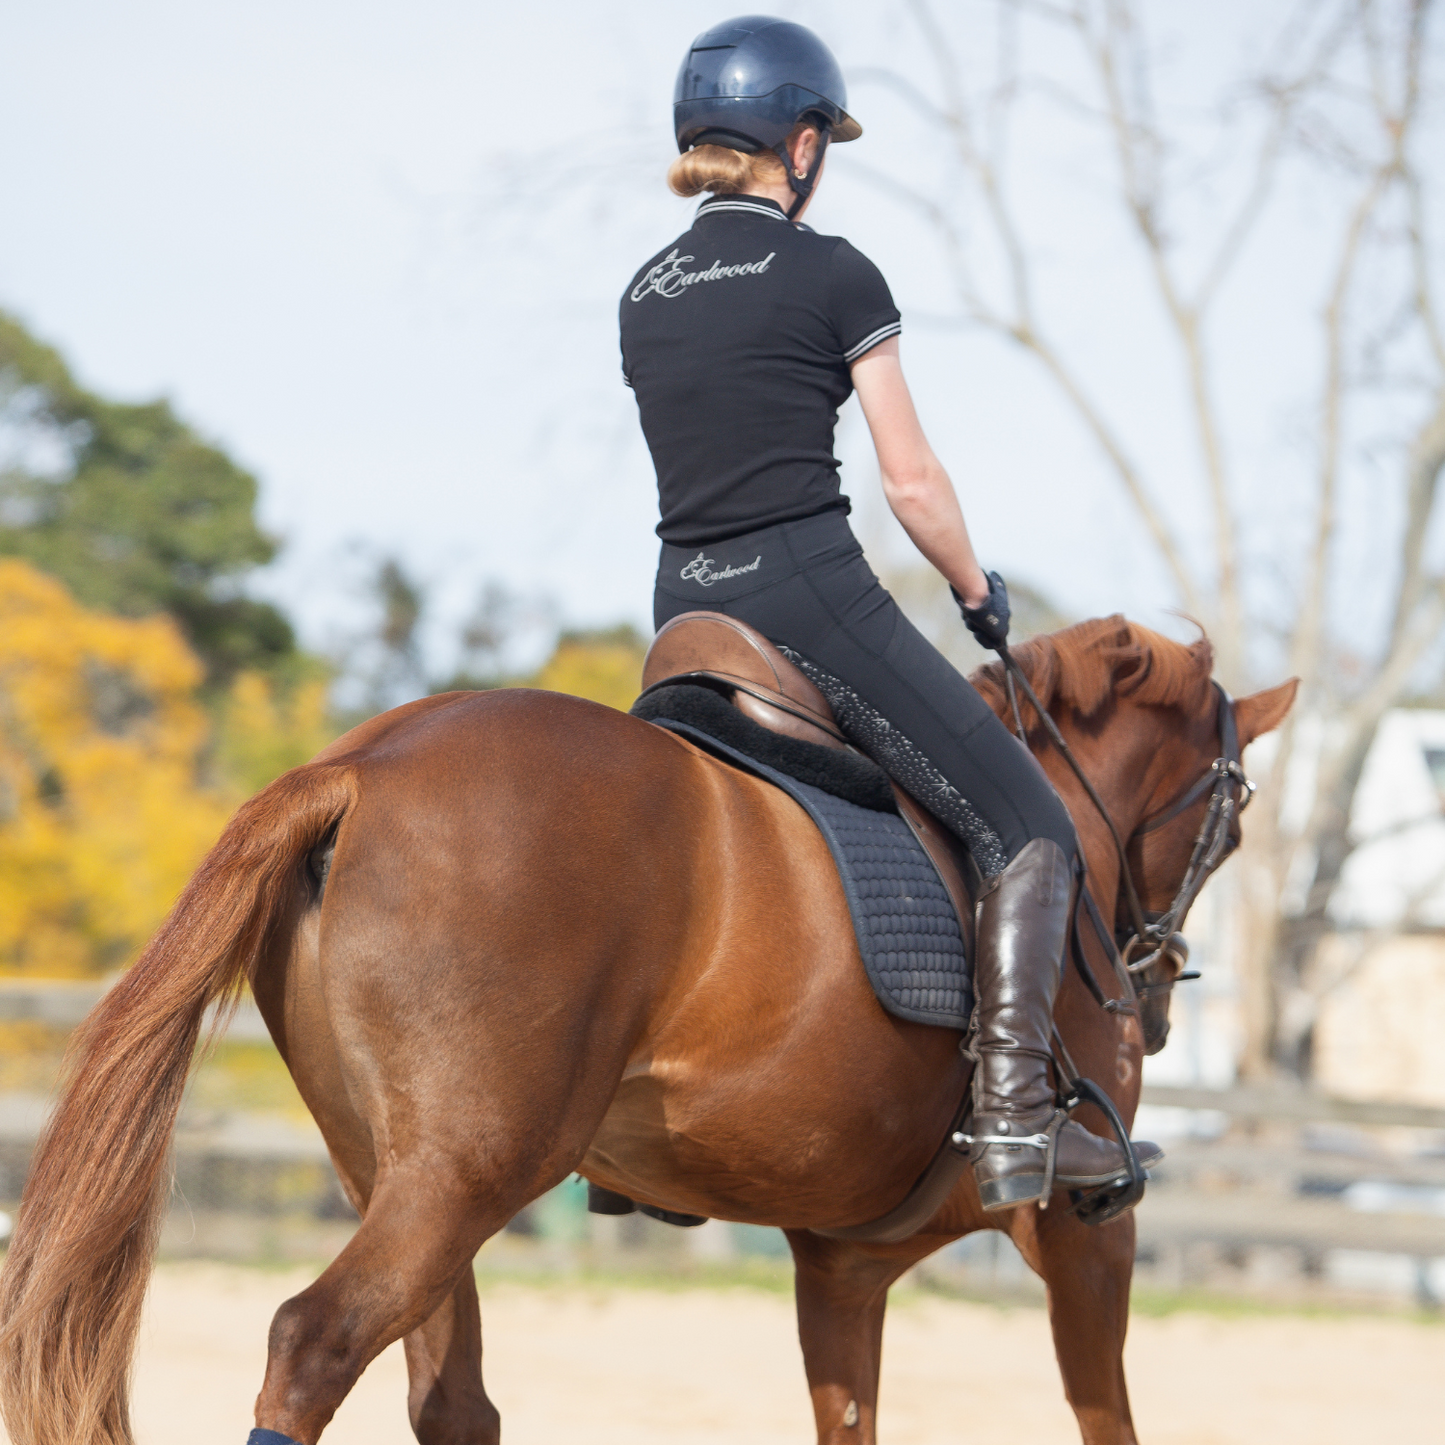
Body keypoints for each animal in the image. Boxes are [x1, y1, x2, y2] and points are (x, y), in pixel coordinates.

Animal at [0, 612, 1294, 1445]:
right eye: (1228, 830)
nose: (1154, 995)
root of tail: (364, 764)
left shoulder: (842, 1263)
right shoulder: (1081, 1231)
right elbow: (1106, 1417)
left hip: (404, 1173)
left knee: (449, 1399)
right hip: (466, 1174)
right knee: (313, 1342)